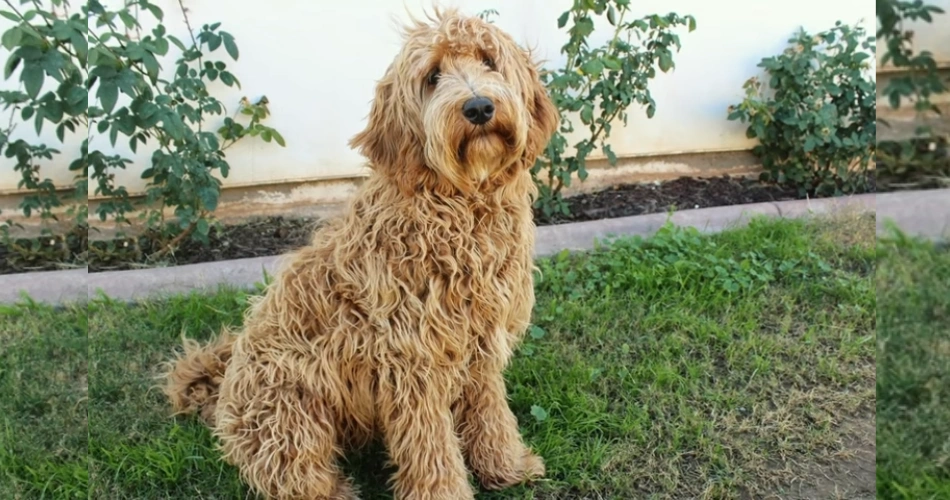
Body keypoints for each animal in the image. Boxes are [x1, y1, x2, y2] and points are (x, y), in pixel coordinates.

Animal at [163, 8, 556, 500]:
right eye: (432, 76)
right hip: (291, 409)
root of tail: (223, 389)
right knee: (292, 473)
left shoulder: (481, 345)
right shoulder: (412, 361)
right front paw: (445, 490)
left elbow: (490, 413)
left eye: (489, 60)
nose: (479, 107)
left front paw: (506, 466)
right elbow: (430, 444)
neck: (457, 205)